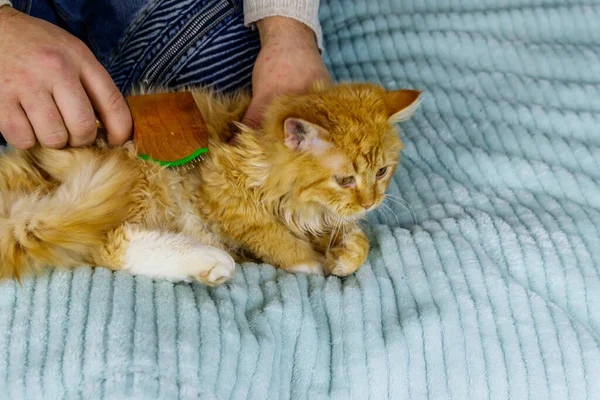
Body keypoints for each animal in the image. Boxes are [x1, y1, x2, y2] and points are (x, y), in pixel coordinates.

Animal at [0, 83, 422, 286]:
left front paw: (343, 255)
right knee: (112, 244)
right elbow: (269, 232)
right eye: (345, 179)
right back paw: (210, 261)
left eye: (382, 172)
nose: (371, 202)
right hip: (141, 182)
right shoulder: (220, 184)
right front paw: (309, 264)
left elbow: (358, 242)